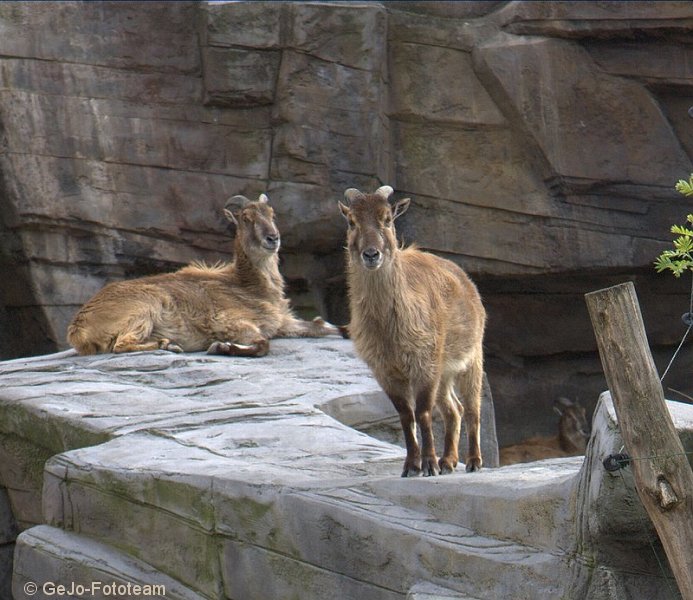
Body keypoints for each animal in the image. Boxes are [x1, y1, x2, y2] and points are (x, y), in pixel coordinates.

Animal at [67, 193, 340, 356]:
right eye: (246, 218)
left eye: (272, 215)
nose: (273, 238)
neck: (248, 285)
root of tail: (78, 329)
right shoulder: (231, 321)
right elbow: (263, 344)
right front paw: (221, 346)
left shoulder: (284, 323)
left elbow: (326, 327)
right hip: (143, 307)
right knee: (120, 345)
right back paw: (167, 344)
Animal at [338, 185, 484, 476]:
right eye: (352, 221)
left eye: (387, 219)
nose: (371, 254)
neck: (388, 329)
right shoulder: (386, 370)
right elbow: (406, 415)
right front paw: (411, 466)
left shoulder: (425, 363)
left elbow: (423, 412)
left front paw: (428, 464)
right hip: (445, 372)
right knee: (454, 409)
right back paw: (449, 460)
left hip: (471, 357)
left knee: (472, 408)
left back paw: (473, 461)